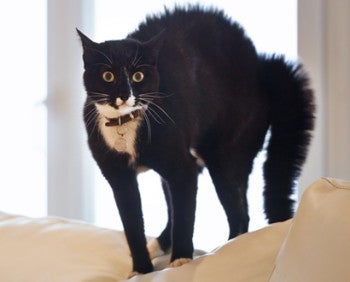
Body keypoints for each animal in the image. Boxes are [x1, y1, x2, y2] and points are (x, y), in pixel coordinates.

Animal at [76, 5, 314, 276]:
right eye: (107, 75)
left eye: (138, 76)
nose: (125, 95)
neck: (124, 125)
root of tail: (260, 64)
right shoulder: (118, 177)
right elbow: (132, 224)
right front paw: (142, 269)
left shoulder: (182, 168)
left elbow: (185, 214)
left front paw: (180, 259)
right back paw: (159, 245)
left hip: (225, 153)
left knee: (238, 211)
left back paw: (230, 249)